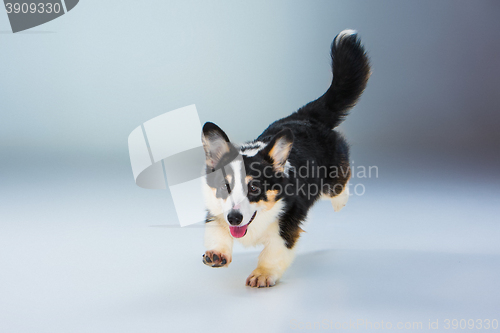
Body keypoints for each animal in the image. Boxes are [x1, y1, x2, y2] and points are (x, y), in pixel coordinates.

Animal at [201, 29, 370, 286]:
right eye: (224, 187)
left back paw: (340, 202)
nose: (235, 218)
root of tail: (305, 116)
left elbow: (275, 251)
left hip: (333, 177)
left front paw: (262, 274)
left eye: (254, 188)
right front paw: (216, 253)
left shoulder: (287, 226)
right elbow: (217, 231)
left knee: (340, 185)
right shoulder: (216, 212)